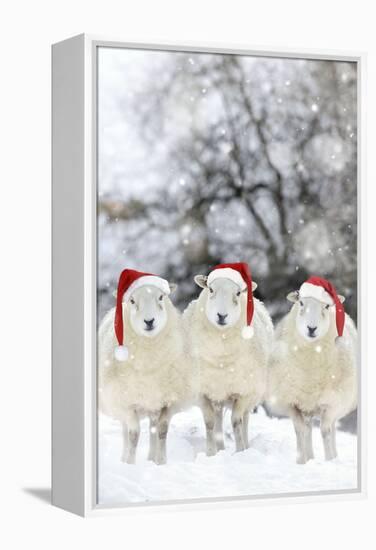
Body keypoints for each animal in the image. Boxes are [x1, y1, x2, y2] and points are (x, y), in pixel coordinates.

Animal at [97, 272, 194, 466]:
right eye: (132, 300)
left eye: (161, 297)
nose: (149, 321)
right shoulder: (127, 403)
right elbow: (133, 435)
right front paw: (130, 464)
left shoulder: (168, 401)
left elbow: (162, 431)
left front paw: (161, 462)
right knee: (125, 432)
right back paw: (124, 458)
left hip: (152, 403)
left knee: (152, 429)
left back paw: (151, 458)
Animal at [183, 264, 274, 458]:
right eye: (210, 289)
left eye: (238, 292)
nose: (221, 316)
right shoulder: (202, 391)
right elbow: (209, 421)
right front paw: (211, 454)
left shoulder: (243, 392)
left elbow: (236, 421)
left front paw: (240, 452)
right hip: (217, 391)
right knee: (217, 417)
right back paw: (221, 449)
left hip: (250, 392)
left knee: (245, 419)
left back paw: (246, 446)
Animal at [266, 278, 356, 464]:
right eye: (301, 303)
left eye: (327, 306)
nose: (311, 328)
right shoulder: (292, 403)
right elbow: (299, 430)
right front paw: (302, 461)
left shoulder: (331, 403)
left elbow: (326, 431)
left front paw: (329, 461)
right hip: (306, 405)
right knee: (307, 429)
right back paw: (310, 457)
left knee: (331, 429)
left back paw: (333, 456)